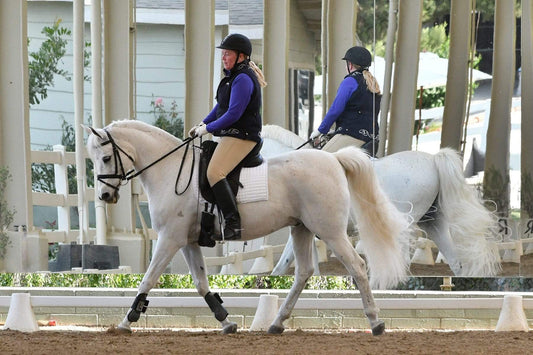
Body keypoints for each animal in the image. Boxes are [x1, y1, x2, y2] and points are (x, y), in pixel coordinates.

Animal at [85, 120, 414, 336]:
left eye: (106, 157)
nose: (105, 197)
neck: (169, 170)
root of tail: (333, 159)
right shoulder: (188, 241)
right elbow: (201, 283)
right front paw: (226, 321)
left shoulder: (170, 239)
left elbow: (148, 279)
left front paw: (126, 322)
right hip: (302, 228)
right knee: (303, 272)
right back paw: (277, 323)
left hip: (330, 231)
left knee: (357, 266)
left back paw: (376, 323)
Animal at [262, 125, 502, 278]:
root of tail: (433, 159)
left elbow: (283, 264)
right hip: (433, 222)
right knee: (456, 262)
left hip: (405, 223)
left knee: (403, 262)